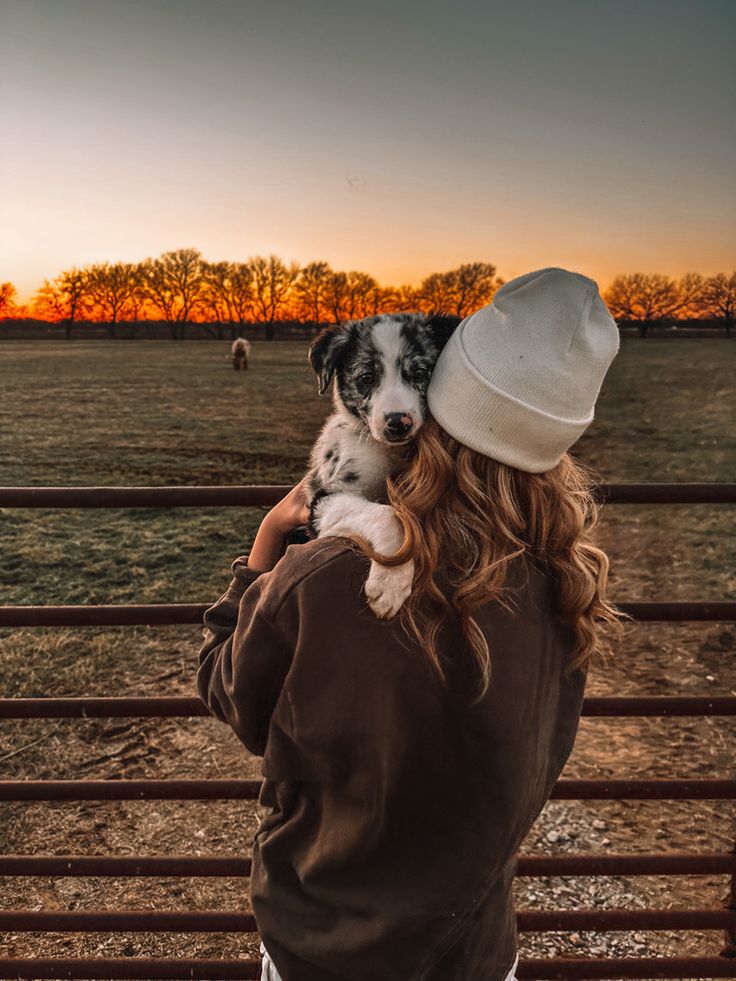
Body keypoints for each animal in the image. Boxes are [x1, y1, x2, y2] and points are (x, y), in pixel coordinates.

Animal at [306, 314, 458, 616]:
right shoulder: (324, 497)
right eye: (366, 377)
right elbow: (390, 514)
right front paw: (390, 582)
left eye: (420, 372)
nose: (398, 422)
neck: (392, 453)